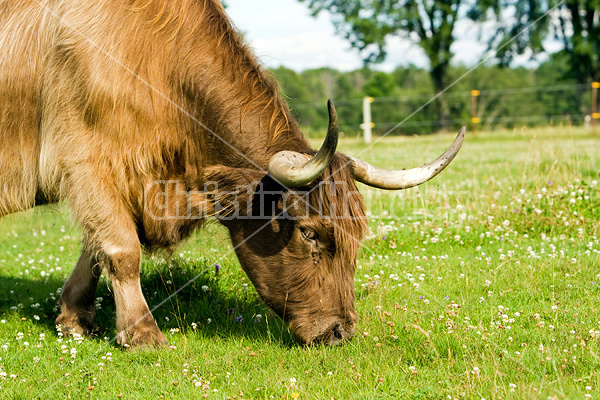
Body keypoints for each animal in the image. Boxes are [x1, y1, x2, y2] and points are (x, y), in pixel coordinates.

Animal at [0, 0, 464, 346]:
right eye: (310, 232)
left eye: (356, 235)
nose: (340, 332)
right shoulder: (88, 161)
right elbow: (121, 249)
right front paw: (142, 333)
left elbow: (95, 247)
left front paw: (74, 317)